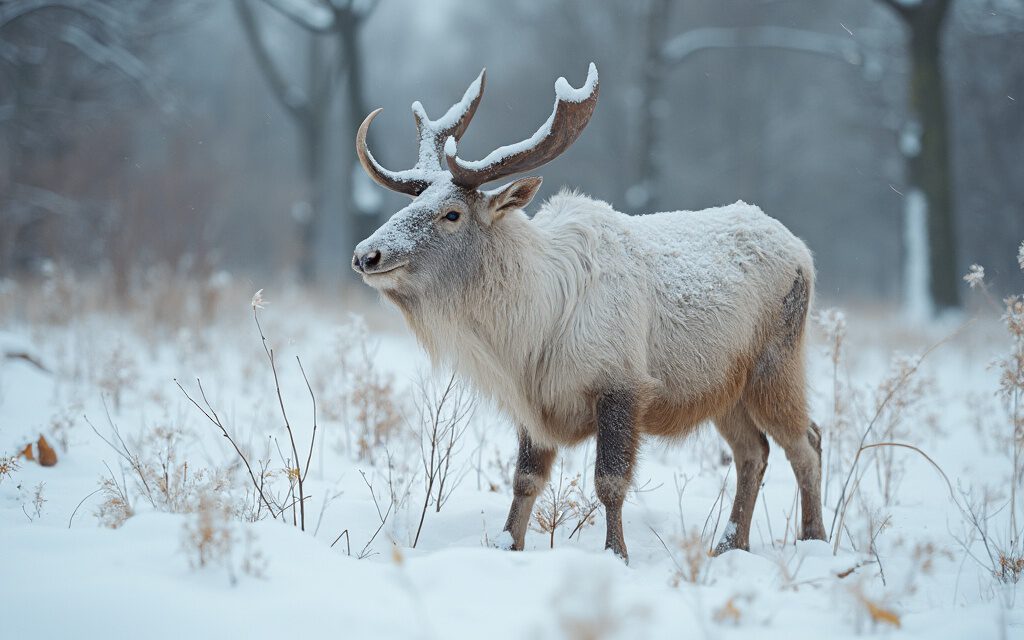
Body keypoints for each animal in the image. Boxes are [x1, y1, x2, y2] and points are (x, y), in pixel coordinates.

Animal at [352, 65, 823, 561]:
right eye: (411, 204)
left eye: (452, 214)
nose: (367, 254)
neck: (529, 330)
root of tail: (802, 251)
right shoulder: (534, 401)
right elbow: (525, 480)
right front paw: (508, 545)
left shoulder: (622, 383)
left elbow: (610, 482)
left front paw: (617, 554)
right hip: (722, 385)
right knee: (754, 451)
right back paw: (731, 545)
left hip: (777, 364)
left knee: (807, 441)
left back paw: (813, 539)